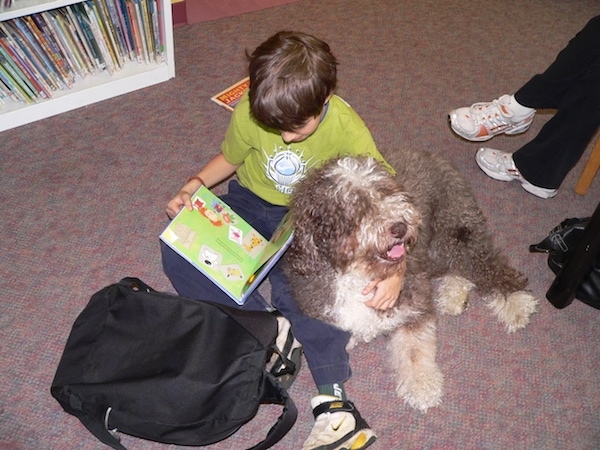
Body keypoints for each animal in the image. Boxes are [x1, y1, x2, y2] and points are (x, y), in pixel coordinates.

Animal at [284, 151, 540, 412]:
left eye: (386, 192)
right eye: (356, 207)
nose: (399, 227)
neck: (361, 275)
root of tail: (433, 156)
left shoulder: (413, 302)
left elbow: (415, 349)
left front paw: (422, 387)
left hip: (453, 229)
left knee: (486, 263)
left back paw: (518, 303)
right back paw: (453, 295)